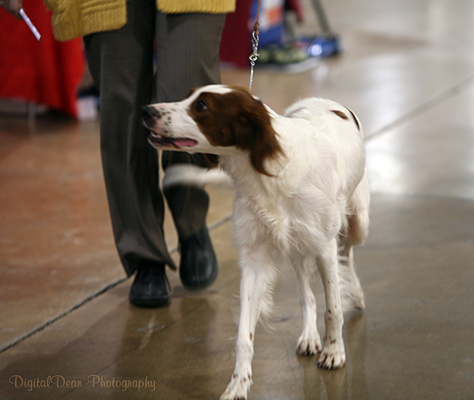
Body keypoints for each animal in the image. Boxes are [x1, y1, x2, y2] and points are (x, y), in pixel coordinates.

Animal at [143, 85, 370, 400]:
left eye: (202, 106)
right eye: (188, 95)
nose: (146, 111)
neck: (268, 172)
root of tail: (321, 99)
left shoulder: (324, 246)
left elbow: (333, 308)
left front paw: (334, 352)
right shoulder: (255, 259)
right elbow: (244, 335)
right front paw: (238, 383)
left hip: (357, 221)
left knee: (347, 253)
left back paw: (355, 294)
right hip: (297, 246)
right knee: (308, 294)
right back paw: (310, 335)